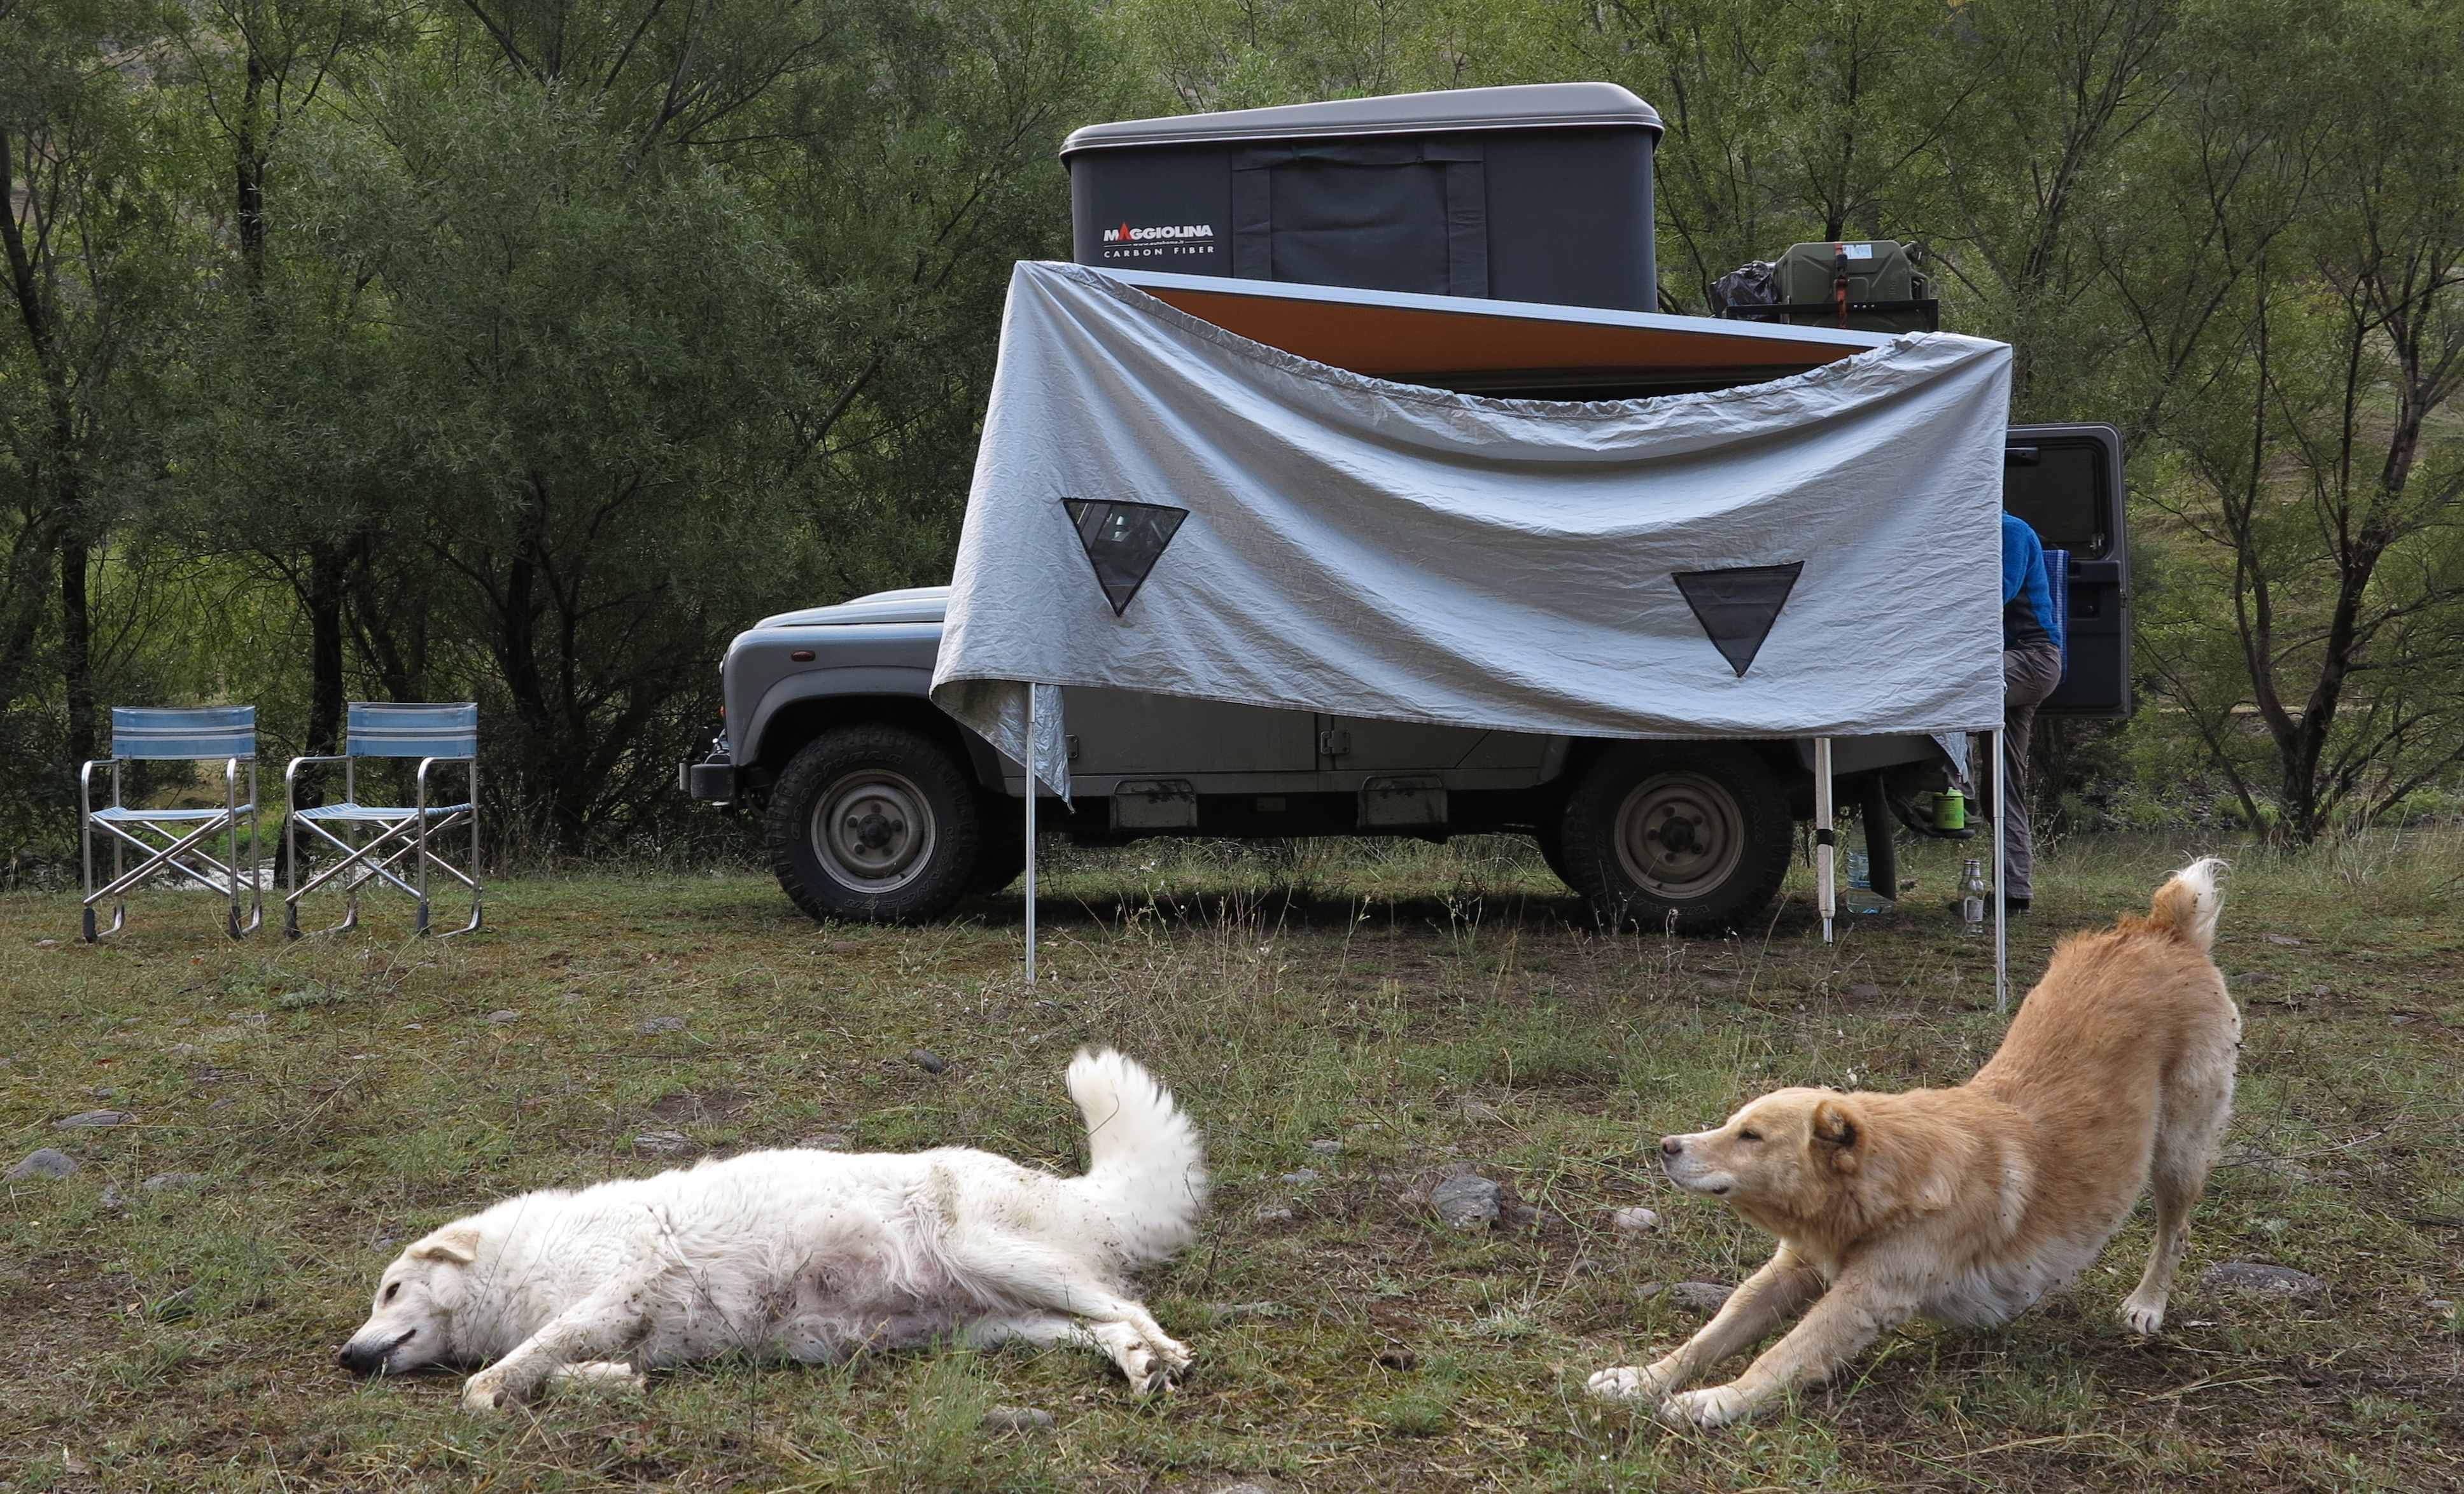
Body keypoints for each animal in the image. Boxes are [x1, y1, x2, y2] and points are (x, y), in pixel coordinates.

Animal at [339, 1049, 1207, 1413]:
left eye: (391, 1288)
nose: (344, 1357)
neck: (516, 1264)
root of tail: (1066, 1187)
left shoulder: (613, 1290)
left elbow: (490, 1381)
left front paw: (503, 1386)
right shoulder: (622, 1326)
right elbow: (552, 1368)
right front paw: (607, 1382)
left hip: (992, 1255)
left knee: (1130, 1306)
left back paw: (1162, 1356)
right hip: (996, 1324)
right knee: (1103, 1325)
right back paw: (1139, 1367)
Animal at [1589, 858, 2237, 1427]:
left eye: (1750, 1136)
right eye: (1730, 1123)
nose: (1667, 1146)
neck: (1885, 1184)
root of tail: (2163, 929)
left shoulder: (1867, 1296)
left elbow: (1782, 1356)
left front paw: (1714, 1401)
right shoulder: (1789, 1271)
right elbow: (1708, 1337)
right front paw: (1640, 1379)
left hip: (2178, 1153)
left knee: (2174, 1231)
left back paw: (2148, 1304)